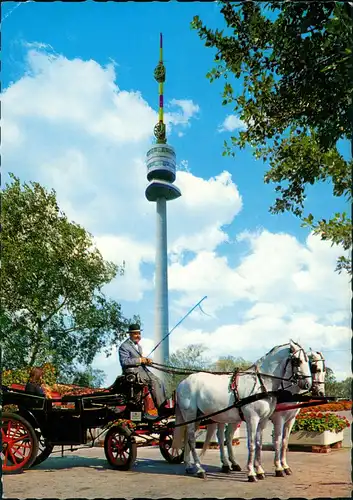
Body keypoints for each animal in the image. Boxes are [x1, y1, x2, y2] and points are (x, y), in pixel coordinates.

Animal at [171, 340, 310, 480]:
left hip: (201, 417)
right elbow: (254, 444)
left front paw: (260, 470)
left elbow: (260, 443)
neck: (262, 384)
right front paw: (253, 472)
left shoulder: (265, 420)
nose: (308, 384)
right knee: (192, 439)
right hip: (190, 415)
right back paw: (200, 469)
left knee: (201, 438)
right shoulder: (256, 419)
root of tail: (183, 382)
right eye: (298, 361)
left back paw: (192, 465)